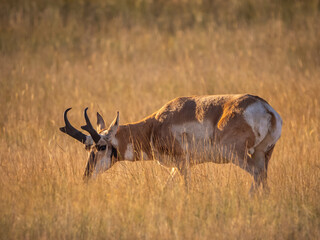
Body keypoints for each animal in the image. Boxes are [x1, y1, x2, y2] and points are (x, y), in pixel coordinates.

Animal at [60, 94, 282, 191]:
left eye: (102, 146)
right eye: (88, 147)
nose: (86, 177)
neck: (155, 125)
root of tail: (265, 108)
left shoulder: (183, 164)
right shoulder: (178, 167)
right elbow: (166, 188)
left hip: (237, 155)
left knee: (256, 174)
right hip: (263, 155)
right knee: (263, 177)